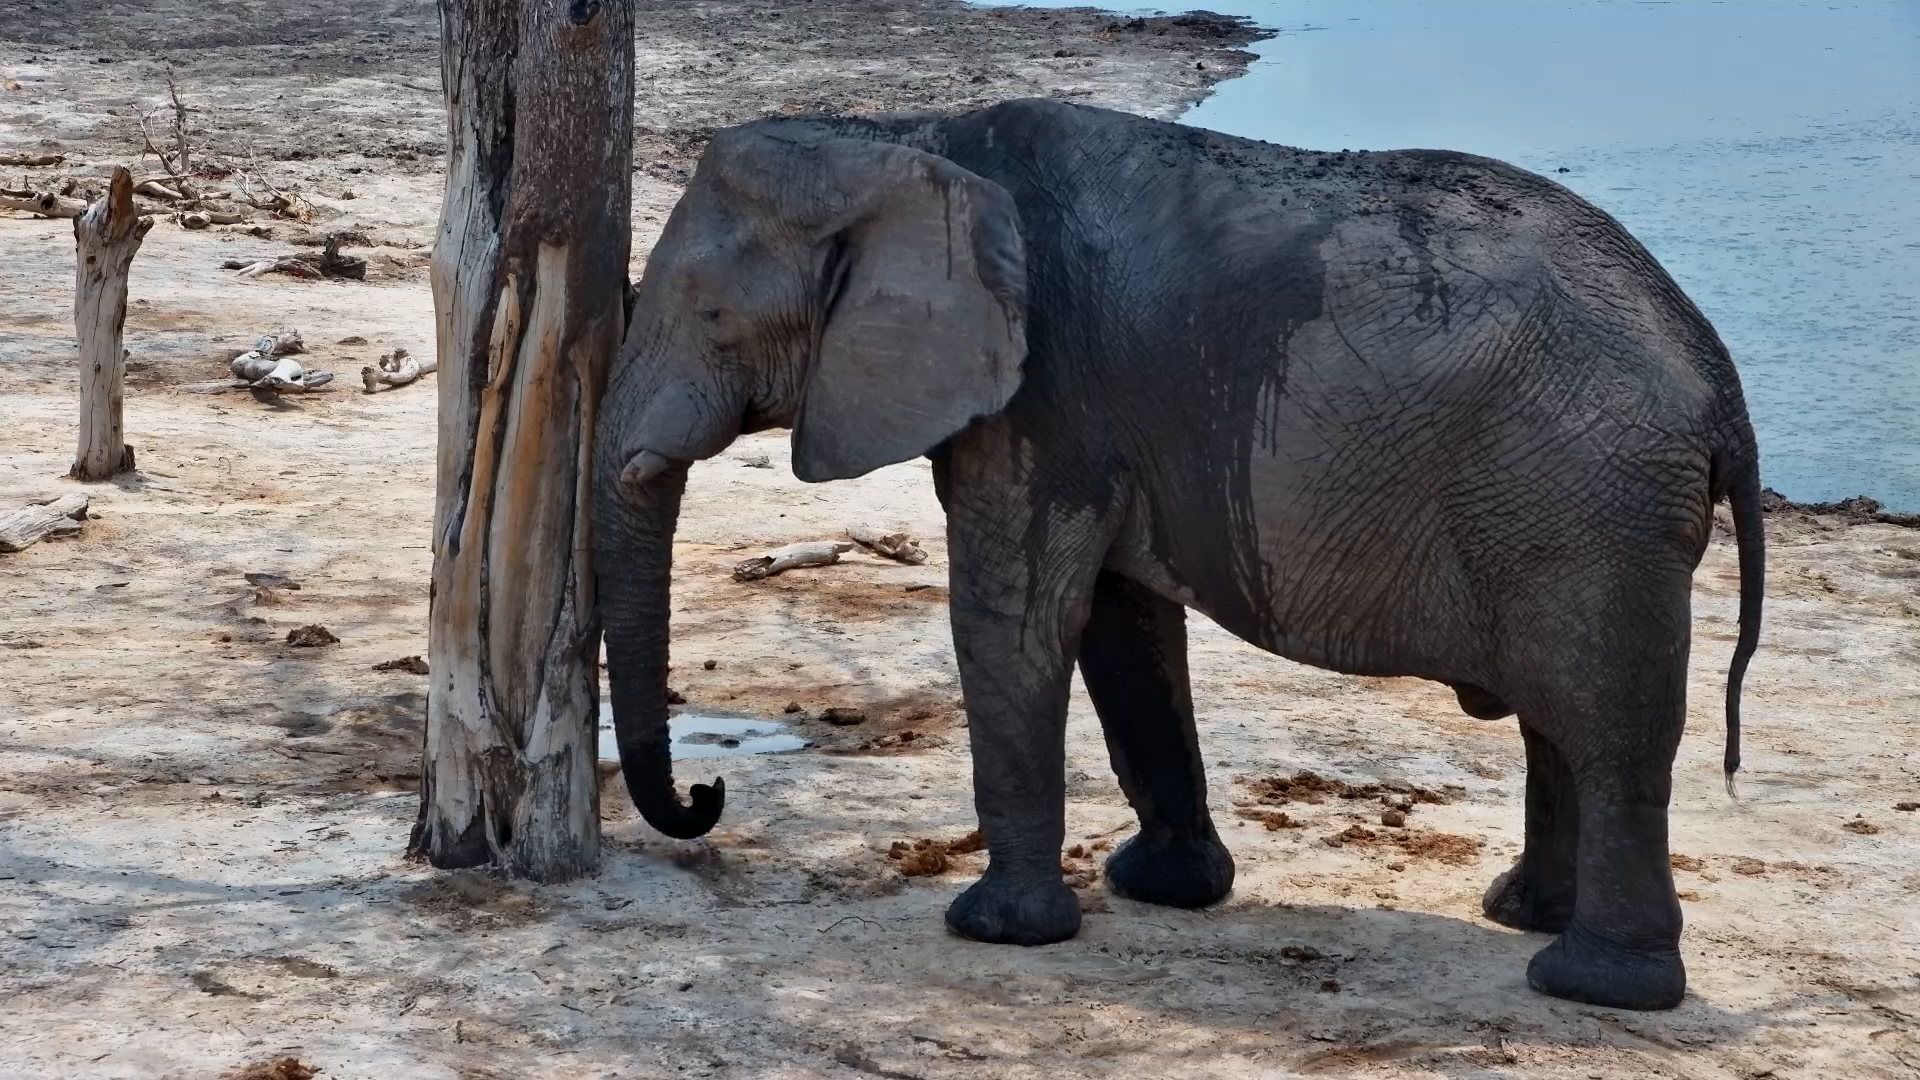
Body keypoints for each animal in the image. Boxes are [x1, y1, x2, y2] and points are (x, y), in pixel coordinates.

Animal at [593, 98, 1765, 1013]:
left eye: (708, 314)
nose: (705, 798)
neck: (900, 140)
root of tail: (1721, 382)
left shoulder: (1046, 396)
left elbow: (1013, 621)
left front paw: (993, 930)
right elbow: (1118, 625)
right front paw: (1162, 890)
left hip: (1585, 507)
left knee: (1607, 729)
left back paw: (1592, 986)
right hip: (1569, 509)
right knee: (1561, 722)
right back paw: (1525, 918)